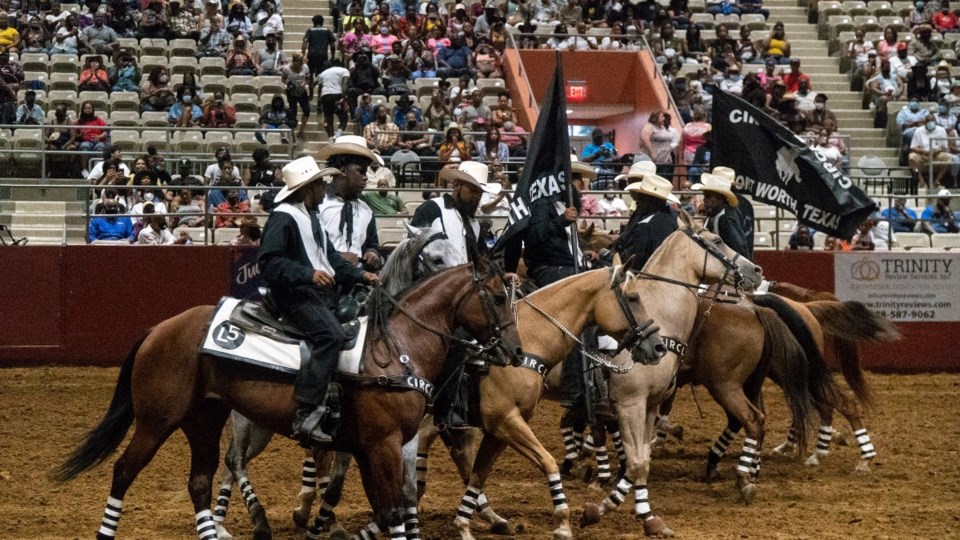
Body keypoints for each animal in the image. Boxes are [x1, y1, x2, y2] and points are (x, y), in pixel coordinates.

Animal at [52, 258, 524, 540]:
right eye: (496, 297)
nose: (516, 352)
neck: (396, 348)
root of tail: (158, 329)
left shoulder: (370, 450)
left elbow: (382, 506)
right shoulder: (384, 445)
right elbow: (390, 512)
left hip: (204, 418)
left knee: (201, 480)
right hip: (156, 420)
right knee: (125, 471)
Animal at [208, 225, 466, 540]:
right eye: (437, 258)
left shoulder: (403, 435)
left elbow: (406, 491)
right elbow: (333, 486)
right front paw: (325, 524)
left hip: (261, 424)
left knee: (233, 461)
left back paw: (222, 522)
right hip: (246, 419)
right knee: (235, 460)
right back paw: (247, 521)